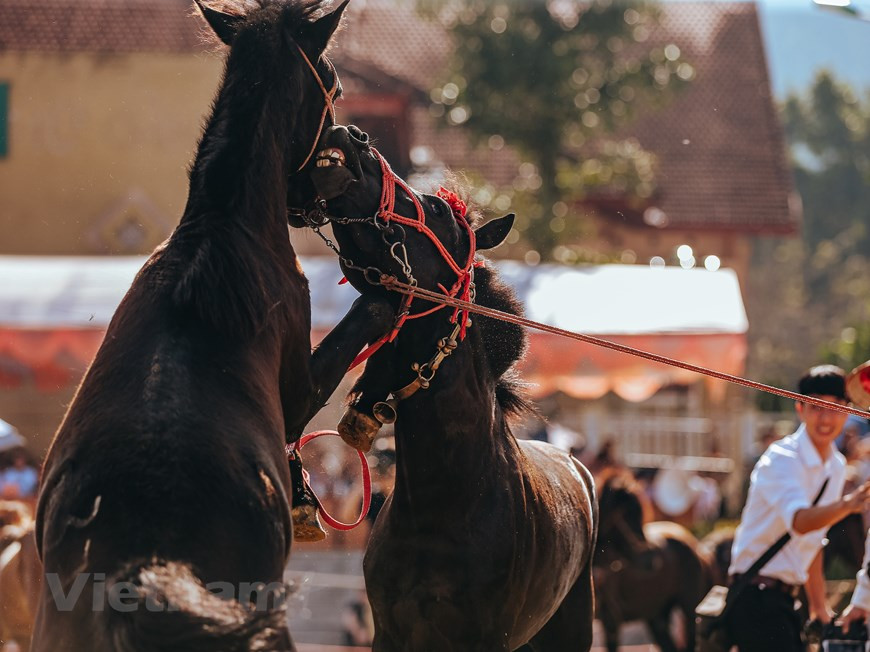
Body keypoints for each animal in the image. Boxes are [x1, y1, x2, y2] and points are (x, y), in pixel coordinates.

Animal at [31, 3, 394, 650]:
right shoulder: (297, 391)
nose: (308, 199)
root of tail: (144, 563)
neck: (222, 231)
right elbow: (368, 314)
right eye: (333, 84)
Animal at [595, 470, 713, 652]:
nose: (651, 560)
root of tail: (697, 547)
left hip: (690, 609)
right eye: (624, 514)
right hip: (657, 615)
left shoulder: (611, 622)